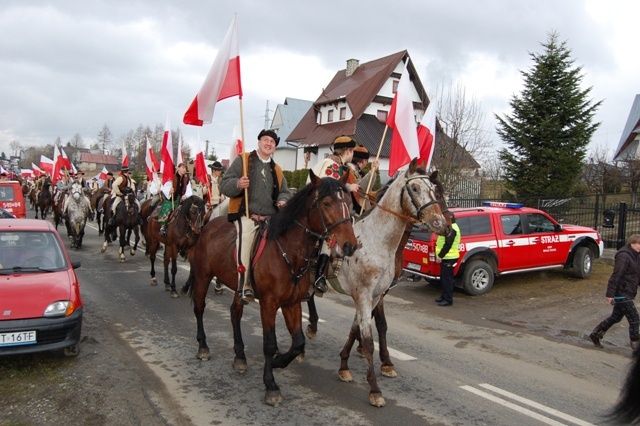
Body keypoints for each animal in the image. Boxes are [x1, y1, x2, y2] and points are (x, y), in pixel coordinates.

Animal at [189, 171, 360, 406]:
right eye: (326, 203)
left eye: (349, 205)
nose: (350, 245)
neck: (288, 251)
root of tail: (209, 225)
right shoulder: (269, 304)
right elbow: (269, 343)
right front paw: (270, 385)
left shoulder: (292, 303)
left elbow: (298, 341)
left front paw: (279, 361)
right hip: (203, 276)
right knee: (199, 308)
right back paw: (203, 347)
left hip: (239, 286)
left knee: (235, 313)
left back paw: (240, 356)